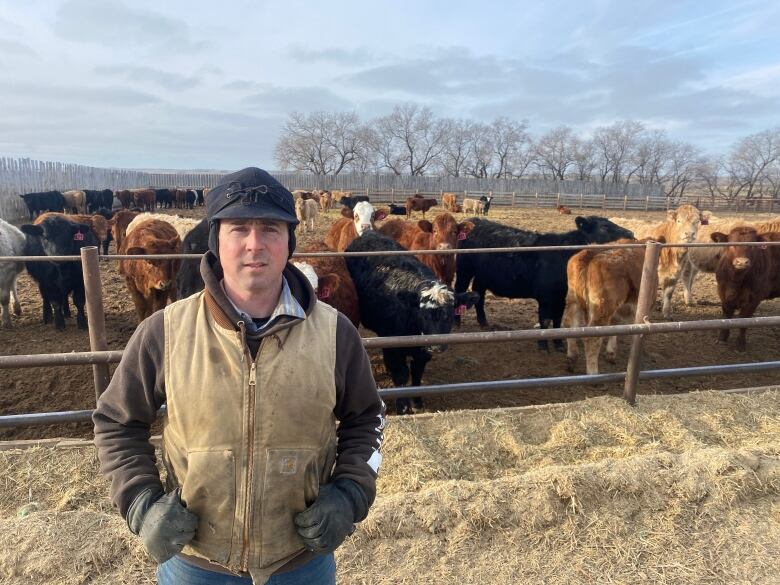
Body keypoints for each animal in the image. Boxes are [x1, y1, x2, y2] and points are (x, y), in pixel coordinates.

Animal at [348, 230, 482, 412]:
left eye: (450, 313)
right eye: (422, 313)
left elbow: (417, 373)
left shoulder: (423, 353)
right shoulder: (393, 346)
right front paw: (403, 406)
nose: (436, 346)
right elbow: (401, 373)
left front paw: (417, 401)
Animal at [454, 216, 632, 350]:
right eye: (604, 227)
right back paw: (457, 323)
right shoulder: (545, 296)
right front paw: (543, 345)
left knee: (479, 294)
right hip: (464, 270)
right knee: (460, 289)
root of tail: (474, 220)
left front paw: (559, 344)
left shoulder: (561, 297)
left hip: (482, 276)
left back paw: (484, 323)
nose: (631, 233)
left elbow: (558, 320)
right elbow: (544, 319)